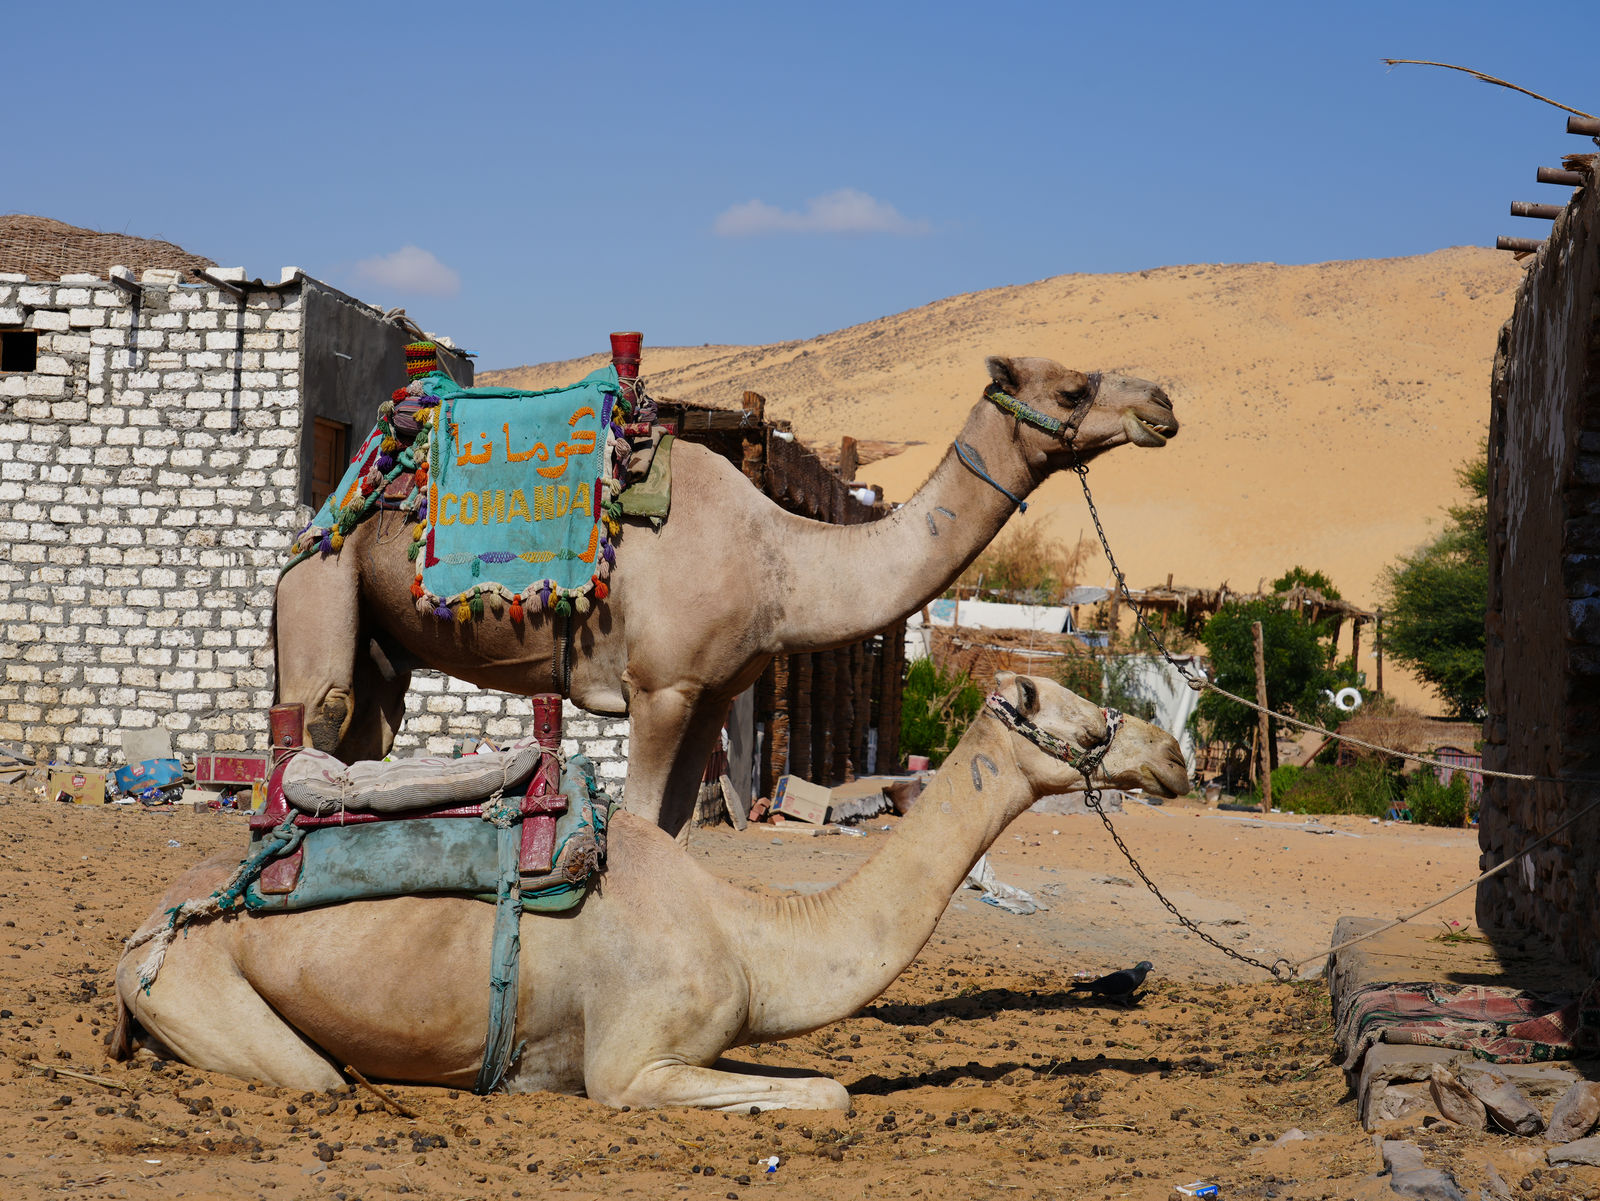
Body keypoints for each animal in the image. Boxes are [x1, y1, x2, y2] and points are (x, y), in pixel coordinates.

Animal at [114, 672, 1187, 1110]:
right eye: (1085, 716)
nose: (1173, 755)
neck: (748, 931)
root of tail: (147, 924)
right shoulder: (629, 1067)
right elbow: (830, 1091)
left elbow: (814, 1079)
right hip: (200, 986)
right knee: (307, 1076)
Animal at [274, 357, 1178, 837]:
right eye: (1072, 390)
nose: (1162, 404)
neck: (779, 561)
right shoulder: (661, 687)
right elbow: (640, 822)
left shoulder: (711, 693)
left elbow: (675, 829)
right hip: (321, 583)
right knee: (312, 724)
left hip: (384, 647)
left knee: (364, 739)